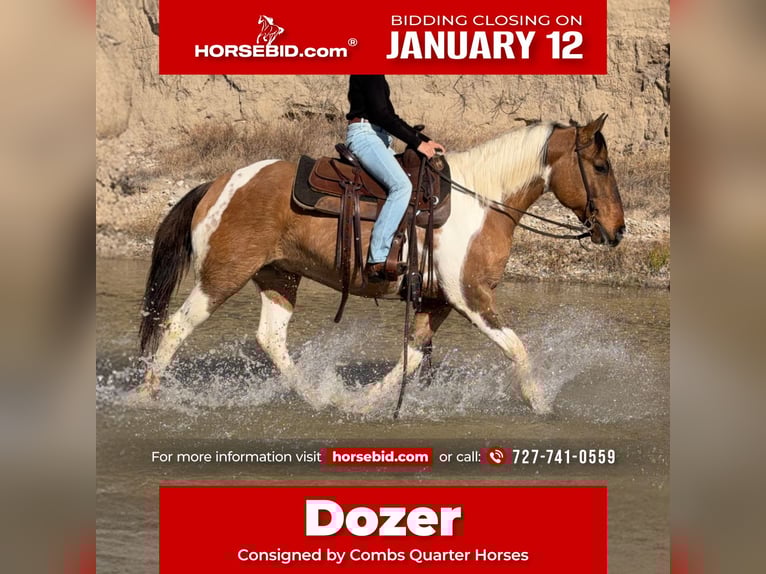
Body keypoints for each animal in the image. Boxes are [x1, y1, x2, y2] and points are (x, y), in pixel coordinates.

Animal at [138, 114, 625, 415]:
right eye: (600, 166)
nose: (618, 230)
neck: (484, 200)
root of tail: (217, 183)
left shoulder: (437, 301)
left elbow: (411, 357)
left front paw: (363, 403)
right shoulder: (471, 296)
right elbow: (517, 349)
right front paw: (541, 405)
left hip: (279, 275)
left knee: (270, 338)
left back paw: (317, 397)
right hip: (222, 275)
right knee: (177, 326)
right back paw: (145, 394)